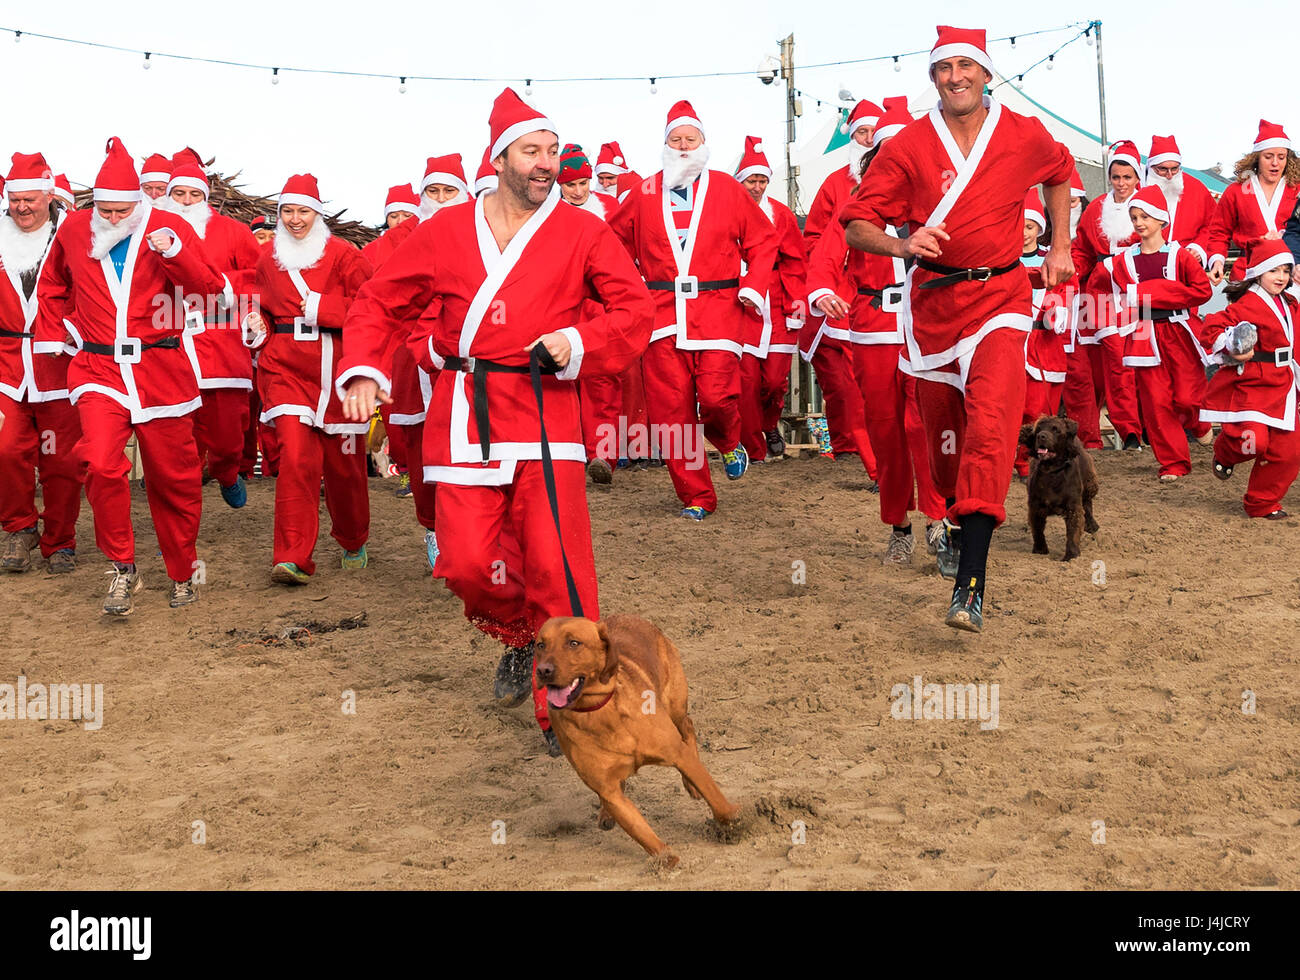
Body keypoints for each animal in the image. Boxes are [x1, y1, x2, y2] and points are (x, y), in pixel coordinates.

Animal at [533, 613, 743, 868]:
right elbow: (640, 831)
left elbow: (714, 795)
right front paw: (665, 859)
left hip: (675, 706)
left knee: (688, 728)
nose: (543, 670)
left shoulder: (677, 753)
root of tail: (629, 616)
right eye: (540, 645)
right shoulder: (609, 791)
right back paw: (605, 814)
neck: (598, 711)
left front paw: (732, 823)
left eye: (574, 643)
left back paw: (692, 783)